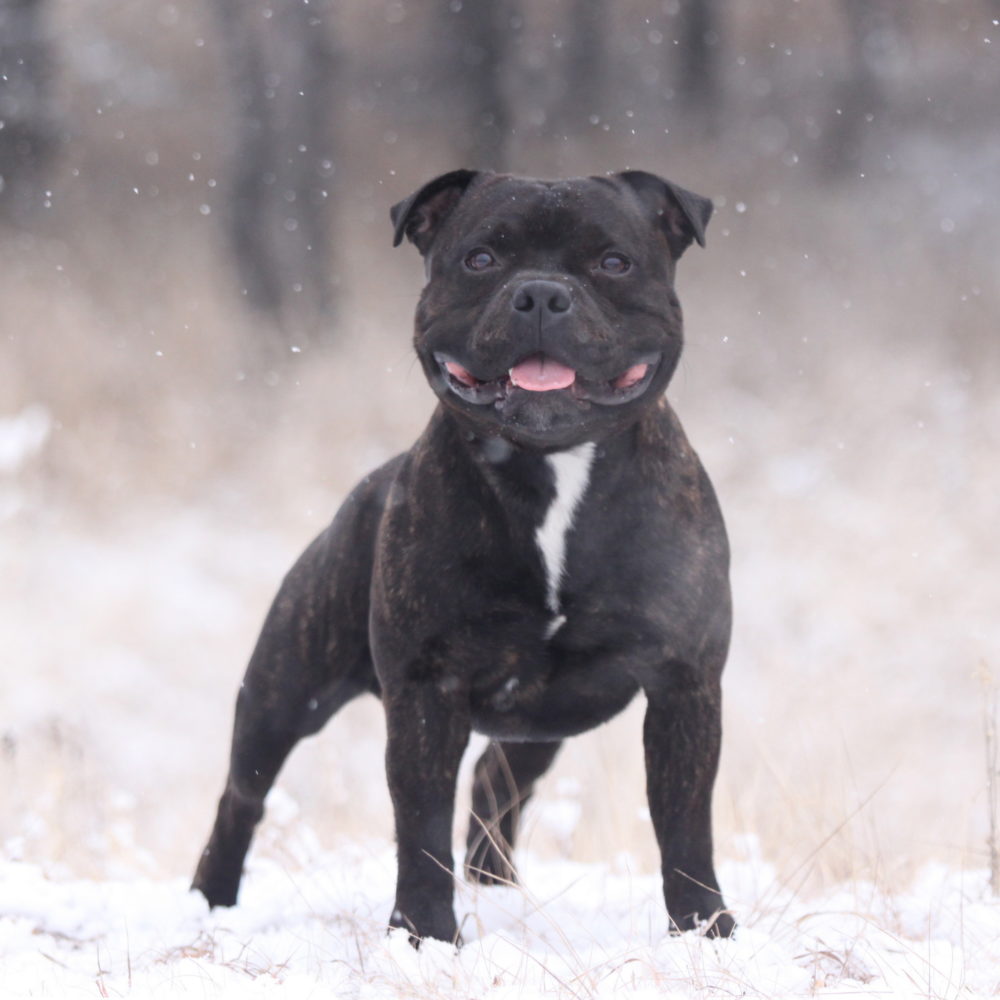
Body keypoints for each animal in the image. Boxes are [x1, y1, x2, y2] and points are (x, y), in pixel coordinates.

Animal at [193, 168, 736, 940]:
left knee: (494, 780)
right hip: (284, 690)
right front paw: (424, 934)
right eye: (481, 259)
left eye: (614, 262)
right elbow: (420, 824)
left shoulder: (684, 684)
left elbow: (686, 822)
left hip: (542, 720)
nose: (539, 293)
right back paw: (209, 900)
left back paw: (496, 887)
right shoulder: (428, 688)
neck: (552, 464)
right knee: (243, 793)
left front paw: (704, 930)